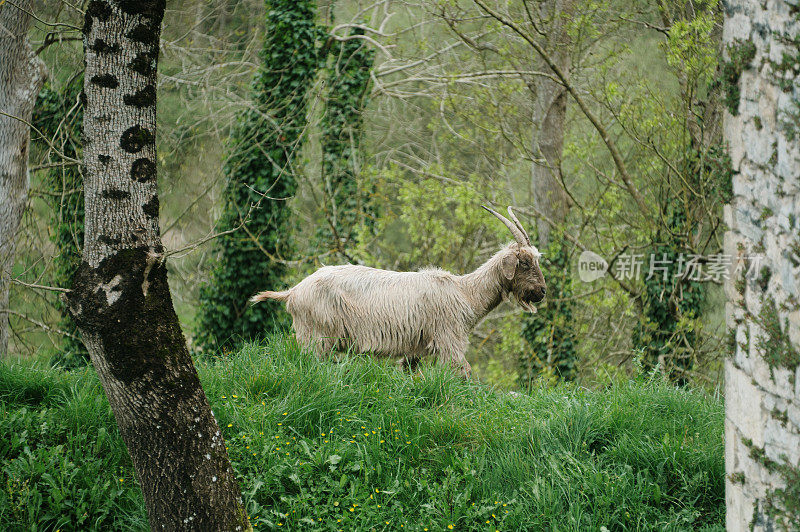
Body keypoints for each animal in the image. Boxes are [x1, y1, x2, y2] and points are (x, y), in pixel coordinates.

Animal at [253, 206, 548, 376]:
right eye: (524, 262)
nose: (542, 291)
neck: (465, 292)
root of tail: (292, 292)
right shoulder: (449, 339)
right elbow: (463, 373)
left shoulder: (414, 350)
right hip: (317, 336)